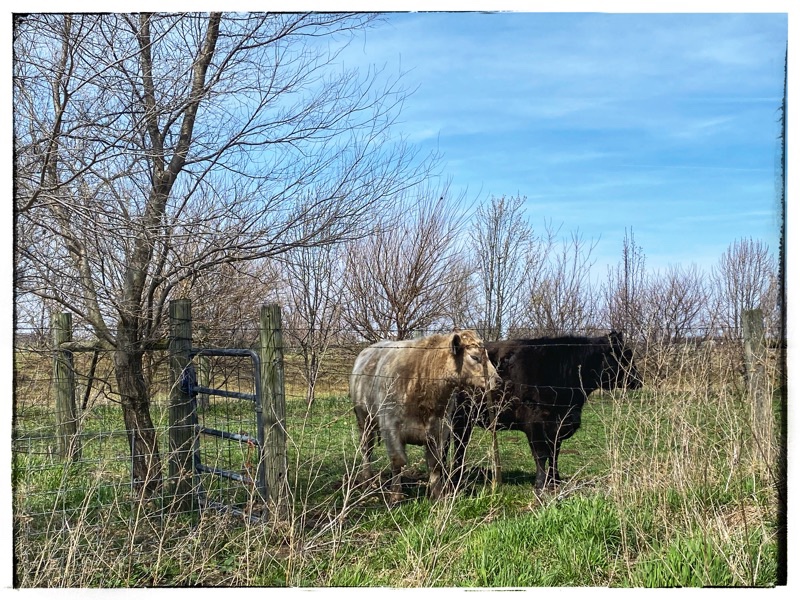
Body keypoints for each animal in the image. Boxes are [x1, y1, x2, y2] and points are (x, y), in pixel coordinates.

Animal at [350, 330, 500, 503]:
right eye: (475, 357)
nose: (498, 380)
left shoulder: (439, 430)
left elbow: (435, 464)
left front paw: (438, 495)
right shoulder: (390, 427)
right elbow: (398, 461)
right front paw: (395, 495)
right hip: (364, 421)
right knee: (366, 450)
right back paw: (367, 480)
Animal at [452, 331, 642, 490]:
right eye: (624, 356)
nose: (639, 380)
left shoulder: (559, 425)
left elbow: (555, 453)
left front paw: (555, 480)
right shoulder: (535, 422)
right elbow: (541, 454)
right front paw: (541, 483)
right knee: (459, 446)